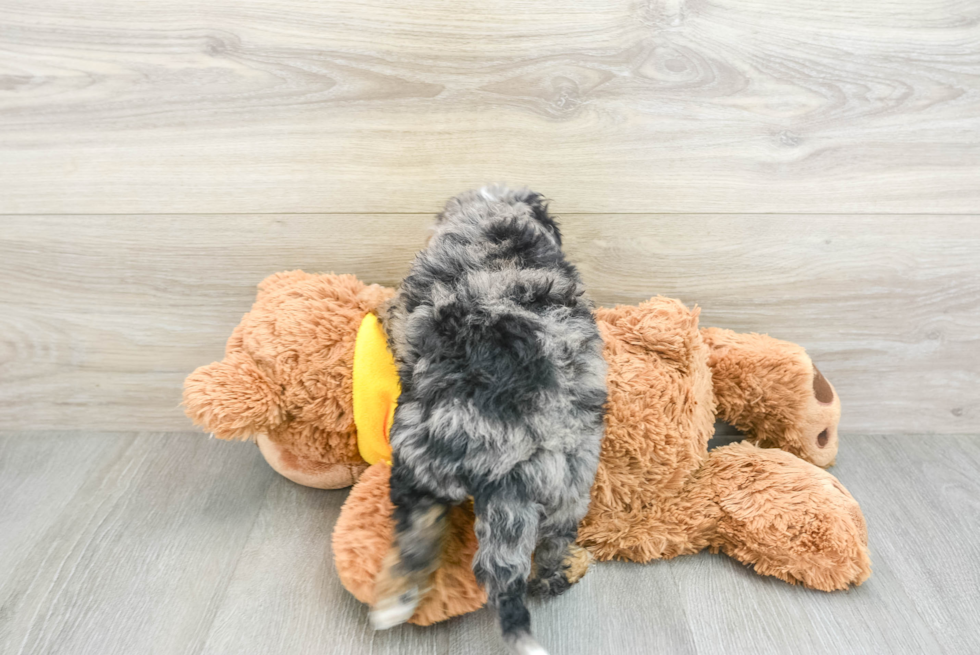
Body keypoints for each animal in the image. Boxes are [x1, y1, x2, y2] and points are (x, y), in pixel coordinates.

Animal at [370, 187, 604, 652]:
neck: (498, 221)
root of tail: (514, 458)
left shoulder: (405, 309)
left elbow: (391, 310)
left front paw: (375, 306)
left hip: (419, 453)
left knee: (417, 531)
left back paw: (391, 604)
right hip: (570, 484)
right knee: (552, 541)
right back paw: (555, 574)